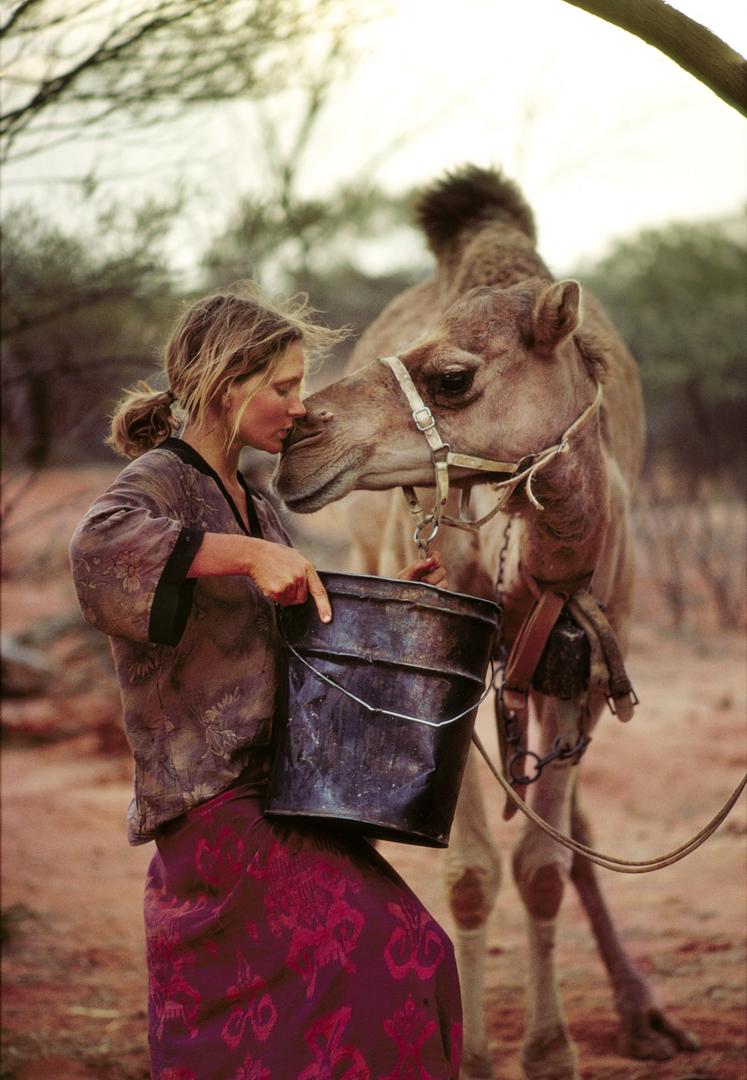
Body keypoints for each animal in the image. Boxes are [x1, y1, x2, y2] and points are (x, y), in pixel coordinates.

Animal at [275, 164, 699, 1075]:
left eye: (452, 377)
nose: (297, 442)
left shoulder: (581, 670)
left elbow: (542, 864)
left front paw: (550, 1051)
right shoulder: (461, 678)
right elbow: (471, 872)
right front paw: (469, 1055)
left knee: (569, 829)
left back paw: (644, 1014)